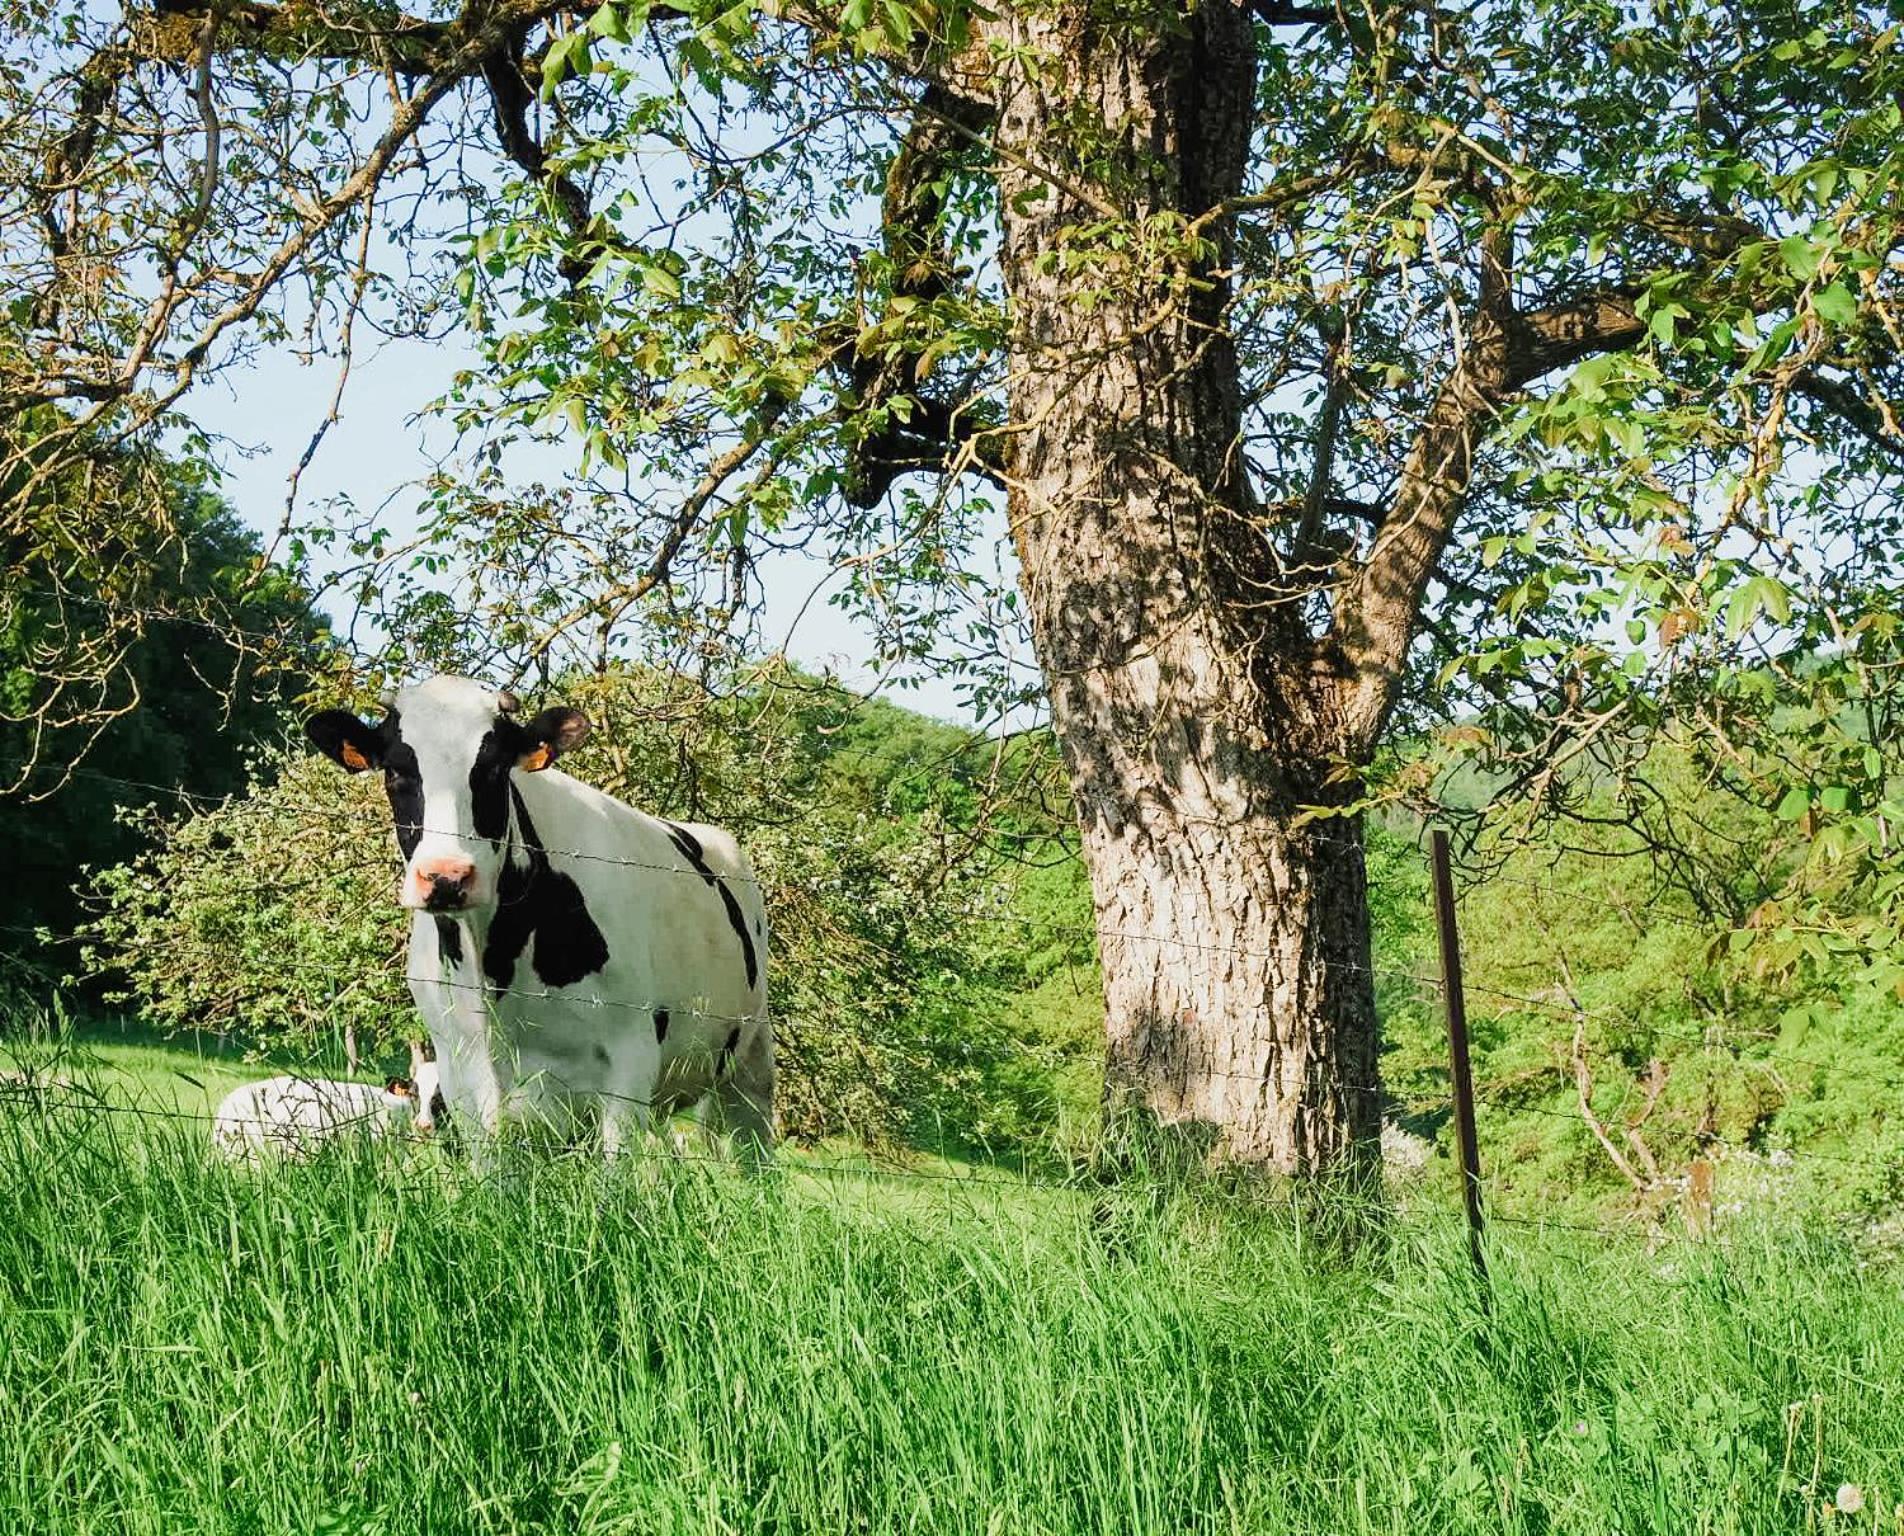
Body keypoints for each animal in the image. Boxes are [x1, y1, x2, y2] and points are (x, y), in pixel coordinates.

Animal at [304, 677, 773, 1157]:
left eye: (494, 769)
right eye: (395, 772)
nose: (446, 877)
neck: (494, 969)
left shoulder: (630, 1060)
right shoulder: (462, 1074)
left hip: (749, 1068)